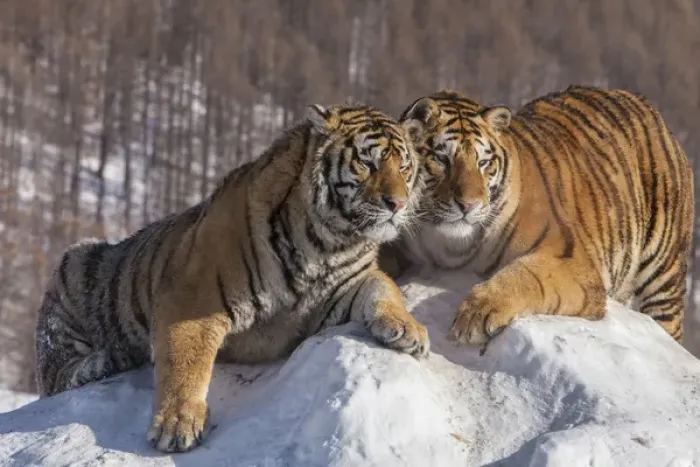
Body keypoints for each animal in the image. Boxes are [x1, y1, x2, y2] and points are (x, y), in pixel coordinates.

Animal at [35, 102, 430, 453]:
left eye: (404, 166)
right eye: (367, 162)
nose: (397, 204)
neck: (328, 243)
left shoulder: (347, 286)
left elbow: (384, 289)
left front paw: (409, 331)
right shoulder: (192, 300)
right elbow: (186, 363)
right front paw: (177, 424)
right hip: (75, 263)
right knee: (56, 375)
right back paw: (108, 360)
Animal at [382, 85, 694, 346]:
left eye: (483, 163)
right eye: (441, 159)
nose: (468, 205)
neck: (449, 245)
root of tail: (641, 101)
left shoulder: (569, 259)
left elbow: (525, 276)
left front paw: (476, 314)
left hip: (662, 275)